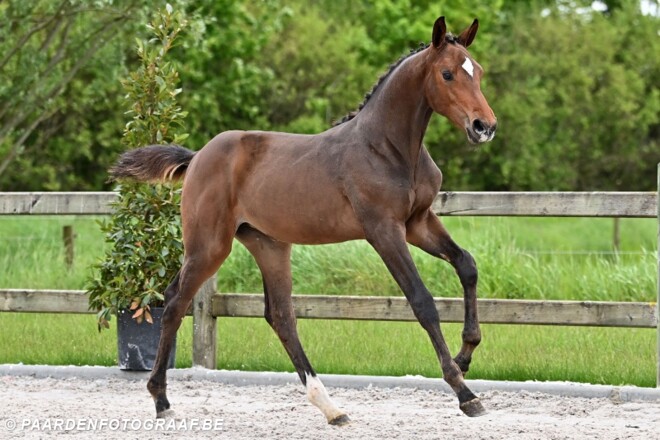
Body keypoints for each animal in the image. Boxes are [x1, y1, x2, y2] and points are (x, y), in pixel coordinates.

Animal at [111, 16, 497, 425]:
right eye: (447, 74)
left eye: (478, 71)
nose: (484, 126)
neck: (387, 148)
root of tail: (198, 156)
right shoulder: (384, 230)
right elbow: (422, 301)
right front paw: (464, 391)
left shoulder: (418, 222)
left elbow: (467, 264)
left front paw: (466, 354)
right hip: (209, 246)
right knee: (173, 303)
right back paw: (161, 400)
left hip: (268, 244)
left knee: (280, 315)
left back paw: (330, 407)